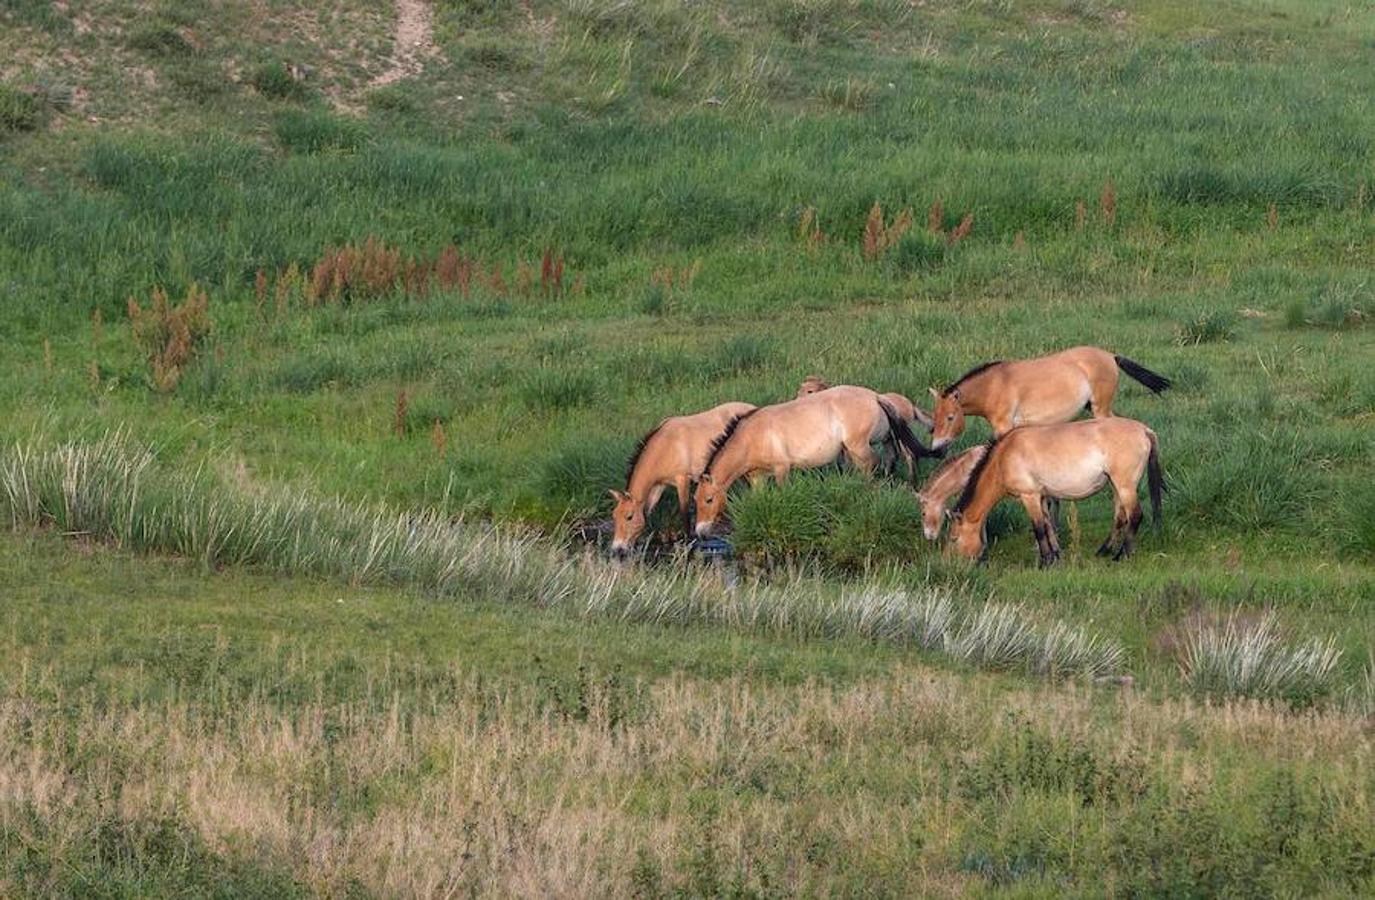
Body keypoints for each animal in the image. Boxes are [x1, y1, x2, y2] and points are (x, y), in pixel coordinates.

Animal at [610, 398, 759, 555]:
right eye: (614, 516)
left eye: (629, 517)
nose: (617, 549)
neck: (664, 446)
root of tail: (753, 408)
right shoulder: (658, 486)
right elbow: (647, 511)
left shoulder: (682, 480)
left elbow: (685, 513)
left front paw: (689, 543)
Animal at [693, 384, 940, 535]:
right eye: (695, 500)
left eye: (709, 499)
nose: (701, 532)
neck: (752, 436)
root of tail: (876, 397)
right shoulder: (757, 478)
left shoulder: (782, 469)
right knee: (891, 457)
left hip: (858, 447)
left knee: (873, 465)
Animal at [924, 349, 1171, 453]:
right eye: (934, 418)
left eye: (950, 417)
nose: (936, 447)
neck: (995, 384)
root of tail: (1110, 355)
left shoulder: (1004, 427)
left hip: (1100, 408)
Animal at [951, 417, 1166, 566]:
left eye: (953, 539)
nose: (951, 564)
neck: (1004, 456)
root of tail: (1144, 430)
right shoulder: (1041, 497)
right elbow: (1048, 526)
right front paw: (1055, 556)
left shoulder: (1029, 496)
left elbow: (1038, 528)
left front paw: (1045, 561)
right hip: (1117, 485)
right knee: (1120, 517)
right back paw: (1103, 551)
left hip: (1125, 486)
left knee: (1135, 515)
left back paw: (1122, 555)